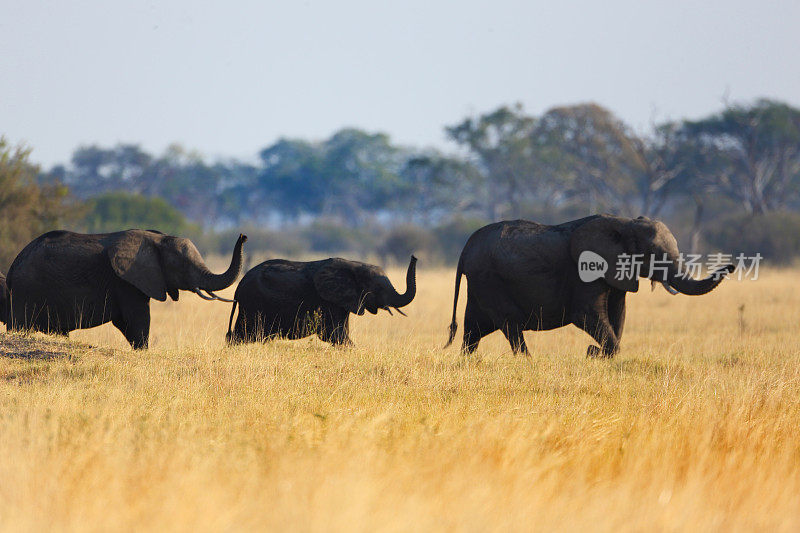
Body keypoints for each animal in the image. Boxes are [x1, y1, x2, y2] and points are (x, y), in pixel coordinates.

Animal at [5, 230, 247, 350]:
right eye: (181, 265)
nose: (243, 236)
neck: (158, 239)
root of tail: (13, 266)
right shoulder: (125, 281)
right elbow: (137, 318)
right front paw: (143, 351)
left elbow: (126, 322)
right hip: (26, 291)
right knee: (19, 325)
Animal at [223, 255, 416, 344]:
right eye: (378, 288)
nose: (414, 257)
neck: (354, 266)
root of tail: (239, 286)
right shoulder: (328, 301)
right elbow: (333, 335)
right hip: (253, 303)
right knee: (247, 335)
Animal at [446, 213, 736, 358]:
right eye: (653, 253)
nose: (732, 266)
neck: (624, 223)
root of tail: (466, 246)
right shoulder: (585, 271)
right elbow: (587, 314)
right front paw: (592, 352)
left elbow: (618, 314)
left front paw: (597, 354)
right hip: (489, 281)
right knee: (511, 328)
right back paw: (527, 363)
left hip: (481, 285)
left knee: (473, 330)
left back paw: (468, 362)